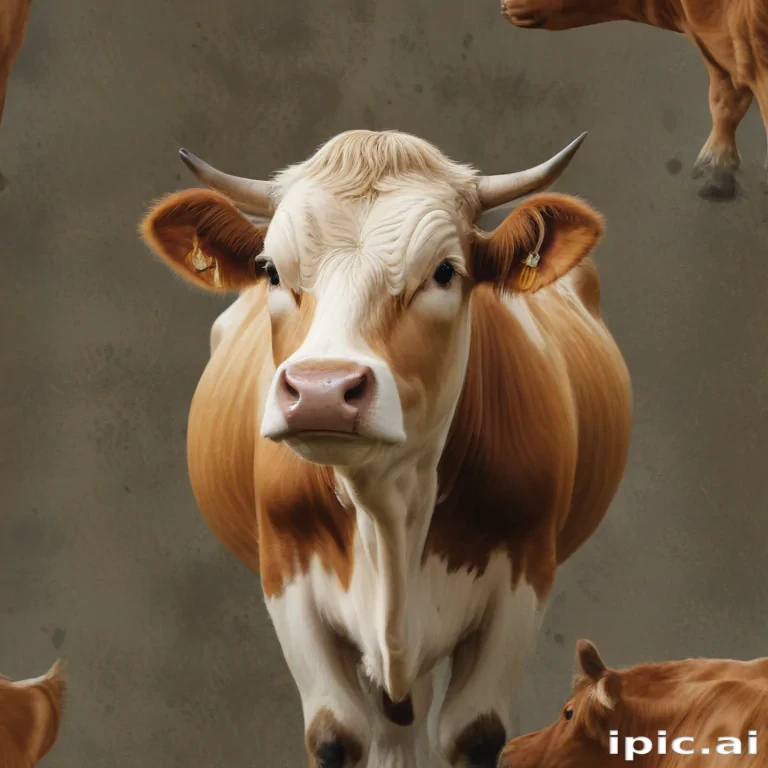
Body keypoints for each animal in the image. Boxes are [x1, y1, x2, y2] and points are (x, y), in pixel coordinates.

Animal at [139, 128, 632, 768]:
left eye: (445, 271)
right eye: (269, 270)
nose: (322, 390)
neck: (390, 513)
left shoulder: (524, 575)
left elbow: (474, 731)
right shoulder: (287, 575)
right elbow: (336, 731)